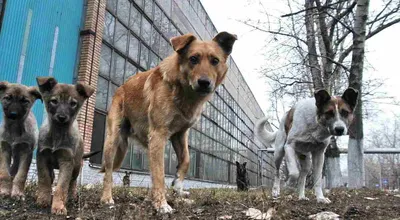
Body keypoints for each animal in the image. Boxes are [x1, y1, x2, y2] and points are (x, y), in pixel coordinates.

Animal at [35, 77, 95, 215]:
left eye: (73, 103)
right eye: (54, 101)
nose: (62, 117)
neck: (58, 133)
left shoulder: (67, 161)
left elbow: (61, 186)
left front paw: (58, 206)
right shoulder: (42, 157)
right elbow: (44, 179)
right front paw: (43, 199)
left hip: (76, 166)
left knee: (72, 183)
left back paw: (71, 197)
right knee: (51, 177)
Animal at [100, 31, 238, 212]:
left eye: (215, 61)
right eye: (193, 59)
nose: (204, 83)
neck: (183, 92)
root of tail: (120, 88)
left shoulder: (180, 134)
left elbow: (186, 160)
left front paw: (178, 185)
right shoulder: (159, 134)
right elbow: (160, 174)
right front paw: (162, 204)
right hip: (113, 140)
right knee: (108, 172)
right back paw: (107, 198)